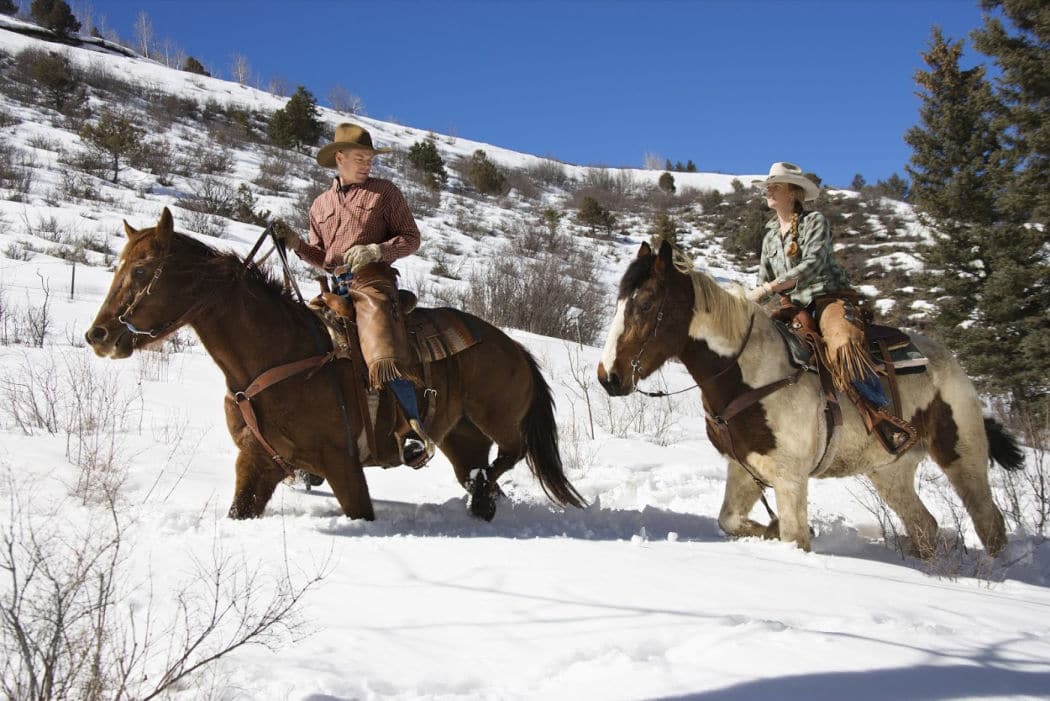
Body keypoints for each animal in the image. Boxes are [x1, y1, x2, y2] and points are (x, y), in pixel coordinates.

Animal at [85, 207, 588, 520]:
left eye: (142, 271)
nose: (99, 336)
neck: (277, 356)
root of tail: (514, 347)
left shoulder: (342, 465)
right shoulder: (258, 462)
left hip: (497, 417)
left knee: (513, 451)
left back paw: (482, 493)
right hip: (460, 437)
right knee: (480, 466)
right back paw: (481, 498)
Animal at [600, 241, 1024, 558]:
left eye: (646, 304)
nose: (609, 376)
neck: (751, 377)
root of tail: (953, 364)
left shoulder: (790, 478)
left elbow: (795, 539)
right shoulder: (746, 467)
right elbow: (730, 521)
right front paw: (768, 530)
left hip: (962, 454)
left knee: (989, 523)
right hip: (890, 471)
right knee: (925, 526)